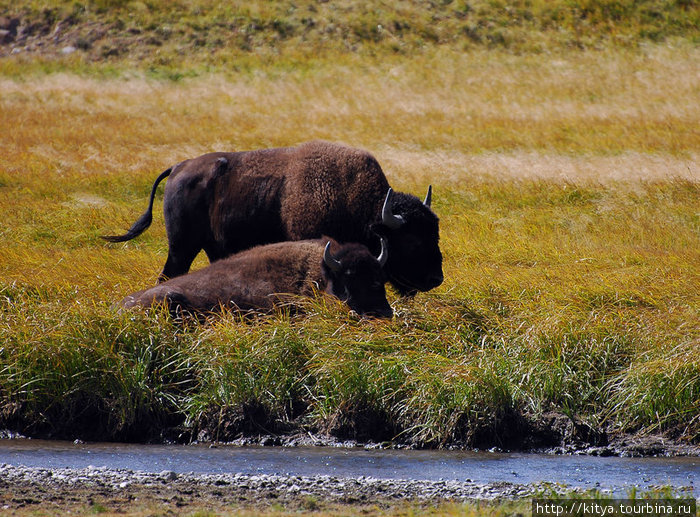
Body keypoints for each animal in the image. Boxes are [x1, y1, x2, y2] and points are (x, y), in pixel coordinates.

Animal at [104, 140, 442, 294]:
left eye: (434, 234)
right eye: (412, 240)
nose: (435, 278)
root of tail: (178, 167)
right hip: (181, 246)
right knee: (169, 274)